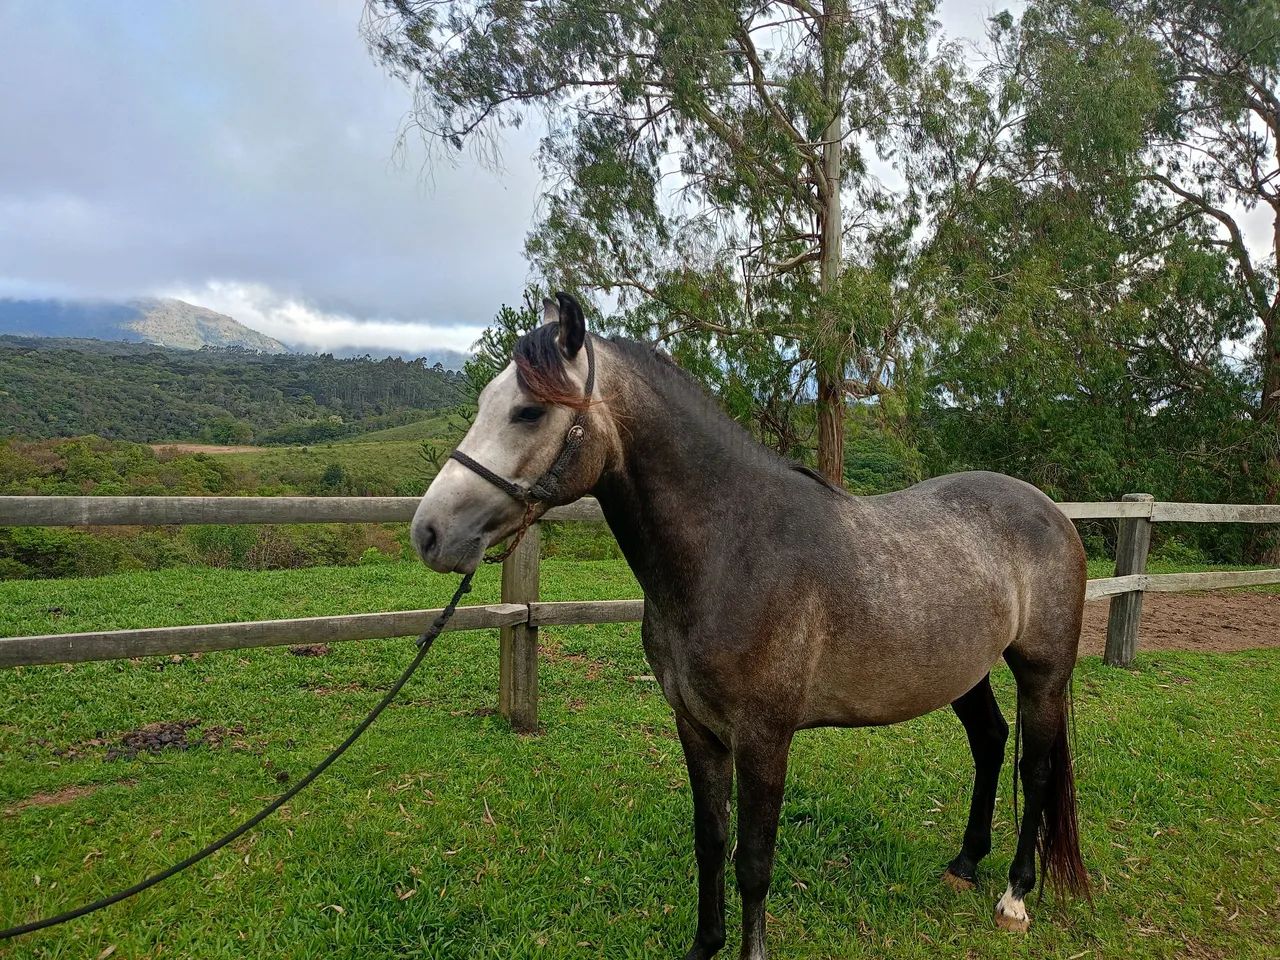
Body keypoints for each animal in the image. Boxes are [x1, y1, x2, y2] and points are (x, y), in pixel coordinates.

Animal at [411, 292, 1089, 959]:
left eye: (528, 411)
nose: (430, 532)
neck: (734, 549)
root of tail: (1051, 512)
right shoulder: (697, 728)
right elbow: (711, 841)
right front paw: (704, 946)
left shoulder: (763, 739)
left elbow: (754, 863)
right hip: (963, 672)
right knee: (991, 742)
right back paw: (965, 863)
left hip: (1042, 675)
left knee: (1037, 769)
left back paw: (1014, 897)